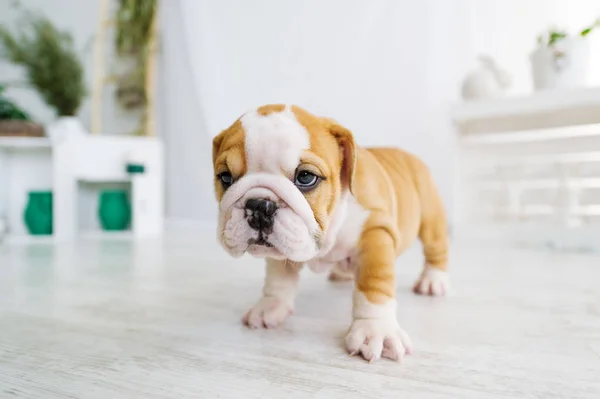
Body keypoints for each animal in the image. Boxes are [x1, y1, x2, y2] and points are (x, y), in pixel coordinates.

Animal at [213, 104, 448, 362]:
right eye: (225, 177)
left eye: (306, 177)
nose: (259, 204)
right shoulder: (284, 246)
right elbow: (278, 278)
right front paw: (270, 306)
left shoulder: (375, 233)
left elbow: (374, 285)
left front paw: (375, 330)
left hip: (430, 218)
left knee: (435, 249)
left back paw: (432, 281)